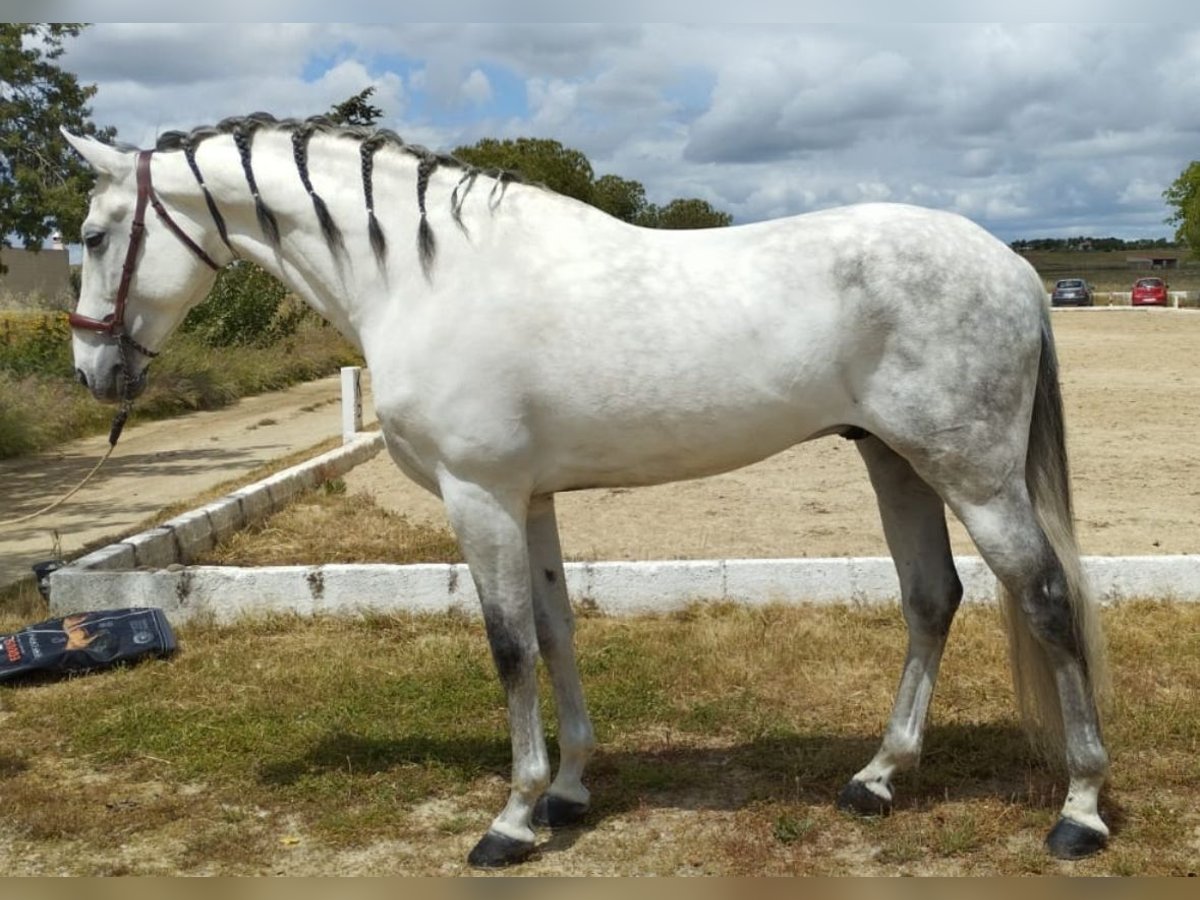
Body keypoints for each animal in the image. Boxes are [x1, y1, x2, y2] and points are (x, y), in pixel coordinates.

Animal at [65, 116, 1108, 868]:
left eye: (93, 234)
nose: (93, 373)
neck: (427, 278)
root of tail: (1014, 267)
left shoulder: (478, 495)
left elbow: (508, 645)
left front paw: (511, 819)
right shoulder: (529, 500)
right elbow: (556, 629)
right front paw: (567, 791)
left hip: (972, 474)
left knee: (1047, 598)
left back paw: (1080, 811)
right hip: (894, 462)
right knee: (933, 598)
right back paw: (878, 779)